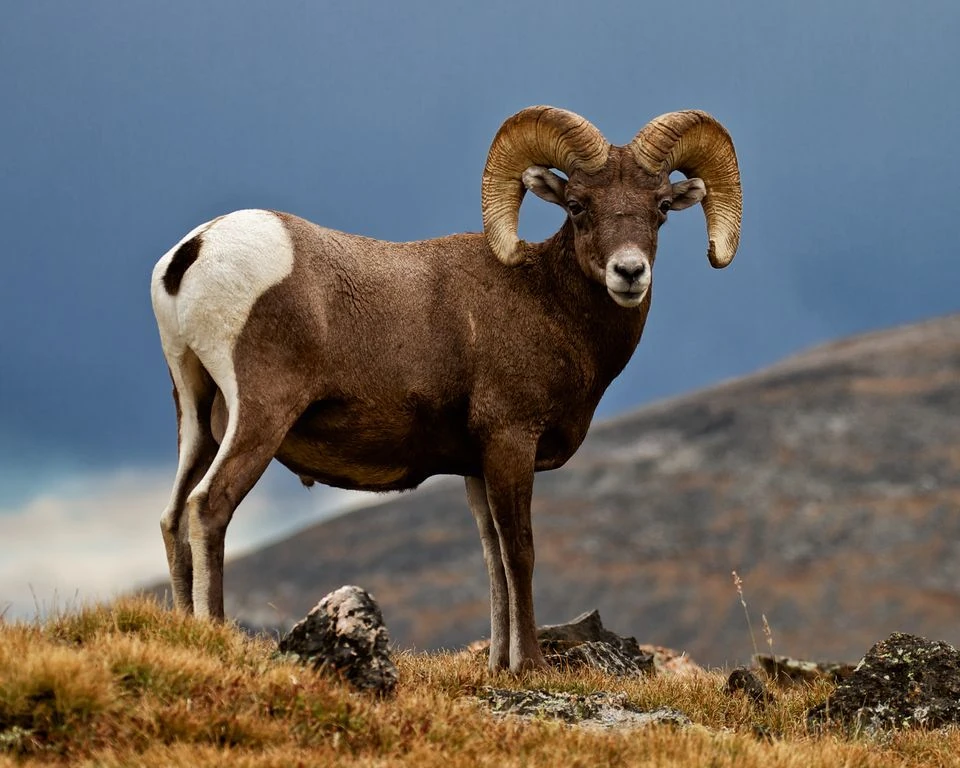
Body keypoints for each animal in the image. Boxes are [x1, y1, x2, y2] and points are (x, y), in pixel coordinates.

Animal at [150, 106, 742, 673]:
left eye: (661, 207)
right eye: (578, 205)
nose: (629, 272)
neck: (545, 303)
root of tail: (194, 252)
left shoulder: (475, 468)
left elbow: (492, 559)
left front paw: (499, 666)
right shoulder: (510, 443)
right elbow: (520, 552)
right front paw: (530, 666)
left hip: (197, 417)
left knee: (174, 517)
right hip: (260, 415)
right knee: (209, 506)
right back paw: (214, 632)